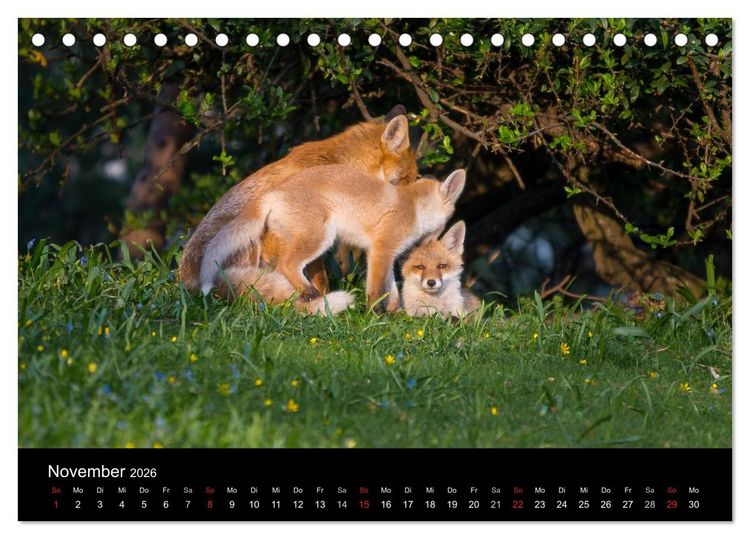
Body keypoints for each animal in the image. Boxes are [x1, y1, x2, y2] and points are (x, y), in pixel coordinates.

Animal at [199, 166, 466, 312]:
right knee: (288, 264)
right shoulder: (381, 249)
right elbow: (375, 289)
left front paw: (395, 312)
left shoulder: (385, 254)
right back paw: (310, 293)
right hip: (321, 237)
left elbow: (391, 289)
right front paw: (373, 315)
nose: (429, 247)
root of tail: (271, 192)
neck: (412, 206)